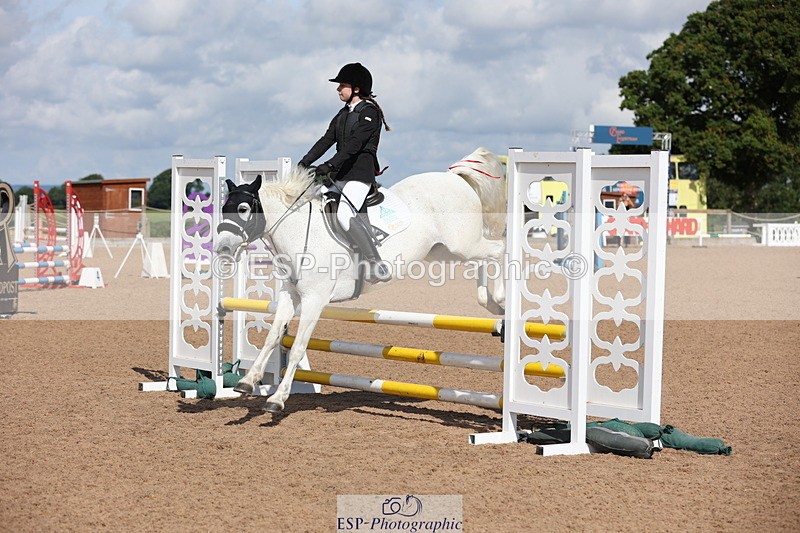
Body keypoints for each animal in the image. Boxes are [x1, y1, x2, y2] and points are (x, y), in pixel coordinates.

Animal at [216, 147, 507, 412]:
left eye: (243, 208)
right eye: (223, 209)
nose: (222, 249)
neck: (299, 231)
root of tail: (454, 178)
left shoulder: (314, 300)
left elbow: (298, 346)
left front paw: (277, 399)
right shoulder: (292, 296)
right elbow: (272, 337)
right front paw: (248, 381)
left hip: (462, 245)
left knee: (499, 249)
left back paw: (502, 301)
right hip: (447, 252)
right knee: (484, 259)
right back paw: (492, 305)